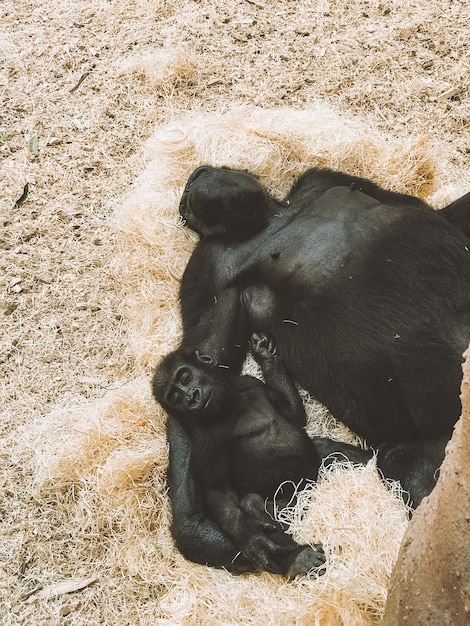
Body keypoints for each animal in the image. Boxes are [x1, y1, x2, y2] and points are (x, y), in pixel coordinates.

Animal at [152, 332, 324, 576]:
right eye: (176, 398)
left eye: (185, 378)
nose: (192, 397)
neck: (230, 404)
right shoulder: (205, 435)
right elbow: (217, 486)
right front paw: (250, 537)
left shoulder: (251, 383)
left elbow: (294, 413)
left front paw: (265, 355)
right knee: (255, 503)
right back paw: (296, 558)